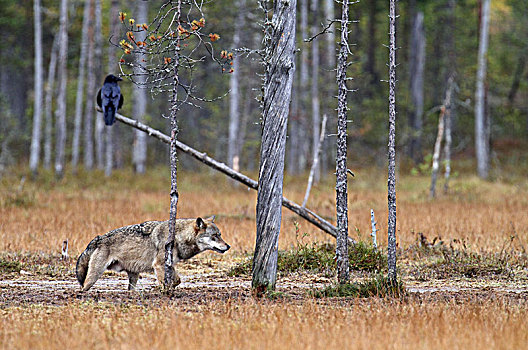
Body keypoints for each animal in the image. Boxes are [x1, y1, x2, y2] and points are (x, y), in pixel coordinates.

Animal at [76, 216, 229, 292]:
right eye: (215, 236)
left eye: (220, 235)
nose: (228, 246)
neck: (178, 236)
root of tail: (98, 238)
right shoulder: (159, 265)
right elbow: (165, 284)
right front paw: (166, 294)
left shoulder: (169, 264)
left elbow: (177, 280)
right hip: (95, 275)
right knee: (83, 287)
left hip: (134, 275)